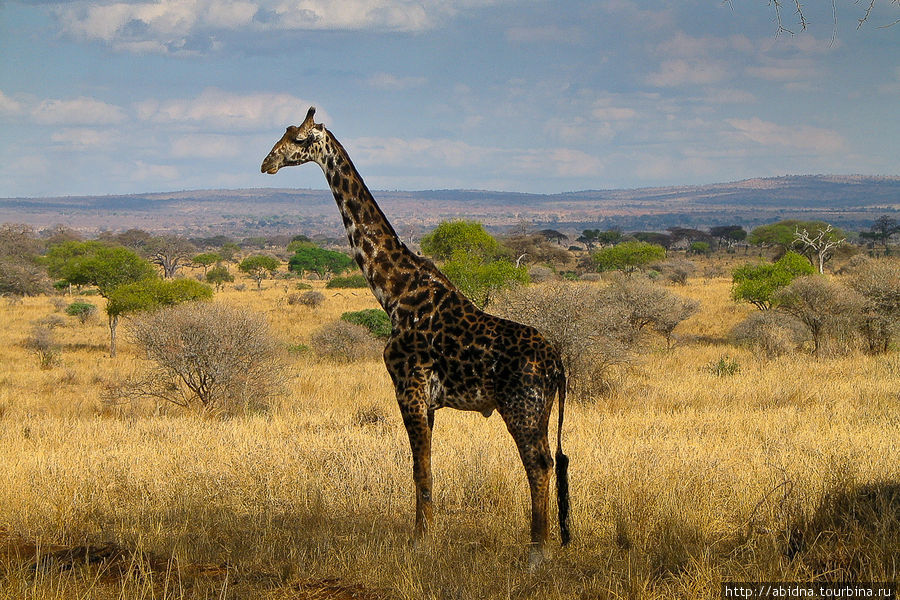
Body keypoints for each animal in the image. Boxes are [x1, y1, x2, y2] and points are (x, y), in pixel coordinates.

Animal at [260, 109, 568, 568]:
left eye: (297, 139)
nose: (267, 163)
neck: (393, 290)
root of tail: (558, 363)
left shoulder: (408, 387)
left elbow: (419, 469)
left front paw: (420, 543)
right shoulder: (428, 399)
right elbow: (426, 467)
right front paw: (426, 534)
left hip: (521, 408)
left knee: (538, 465)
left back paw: (536, 553)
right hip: (542, 411)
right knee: (550, 462)